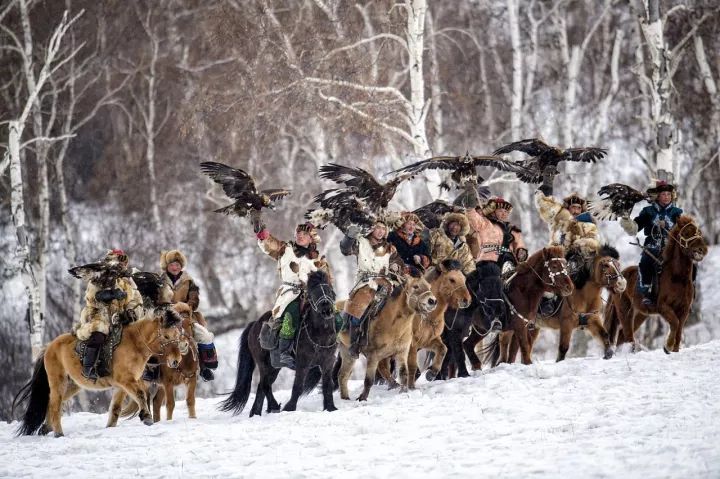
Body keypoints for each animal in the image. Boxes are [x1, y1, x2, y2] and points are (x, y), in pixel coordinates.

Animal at [13, 308, 187, 438]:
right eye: (166, 336)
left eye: (178, 335)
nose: (176, 360)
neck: (134, 344)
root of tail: (49, 347)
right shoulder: (126, 380)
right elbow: (140, 394)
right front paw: (146, 418)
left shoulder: (121, 386)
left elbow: (115, 408)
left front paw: (110, 427)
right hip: (58, 382)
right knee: (55, 405)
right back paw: (58, 433)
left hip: (72, 385)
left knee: (52, 403)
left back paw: (46, 428)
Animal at [219, 272, 340, 418]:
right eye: (313, 292)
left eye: (329, 289)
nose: (326, 309)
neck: (320, 335)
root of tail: (254, 325)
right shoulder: (302, 364)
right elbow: (297, 387)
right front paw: (290, 408)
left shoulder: (327, 362)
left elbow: (328, 385)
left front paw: (331, 408)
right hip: (264, 364)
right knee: (265, 385)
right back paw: (274, 406)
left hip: (274, 367)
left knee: (262, 386)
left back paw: (257, 413)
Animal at [334, 272, 436, 404]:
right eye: (415, 286)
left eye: (429, 286)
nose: (432, 301)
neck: (393, 323)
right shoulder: (373, 356)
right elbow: (369, 380)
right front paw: (362, 398)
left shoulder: (401, 352)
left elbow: (403, 374)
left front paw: (403, 392)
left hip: (350, 353)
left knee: (344, 375)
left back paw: (346, 398)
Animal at [604, 216, 704, 354]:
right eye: (686, 233)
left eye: (698, 231)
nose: (701, 249)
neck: (678, 277)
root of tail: (620, 275)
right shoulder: (664, 307)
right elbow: (675, 323)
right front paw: (667, 346)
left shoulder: (684, 310)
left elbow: (679, 330)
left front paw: (674, 349)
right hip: (625, 312)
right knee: (628, 336)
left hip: (640, 314)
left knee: (622, 337)